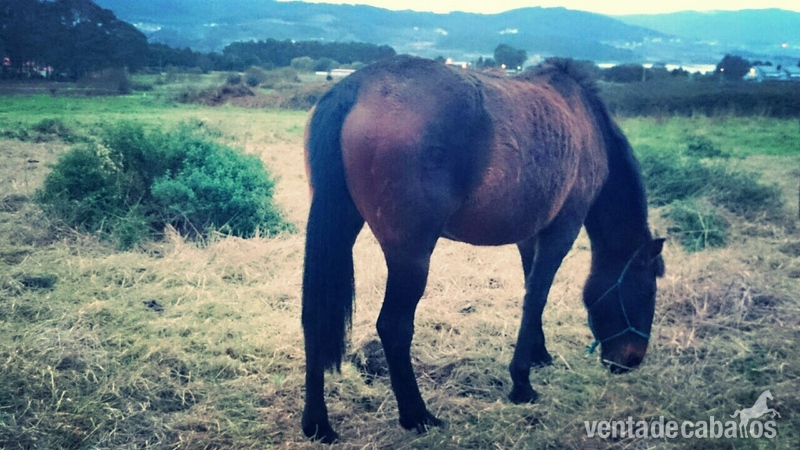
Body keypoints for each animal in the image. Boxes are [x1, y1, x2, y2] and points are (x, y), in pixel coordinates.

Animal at [301, 55, 665, 443]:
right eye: (647, 291)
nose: (631, 359)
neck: (584, 120)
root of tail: (356, 87)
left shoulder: (530, 235)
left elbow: (530, 291)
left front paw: (538, 354)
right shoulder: (561, 231)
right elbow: (537, 297)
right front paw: (522, 383)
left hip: (342, 226)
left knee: (315, 319)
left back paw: (318, 424)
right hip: (411, 256)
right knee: (394, 327)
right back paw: (417, 415)